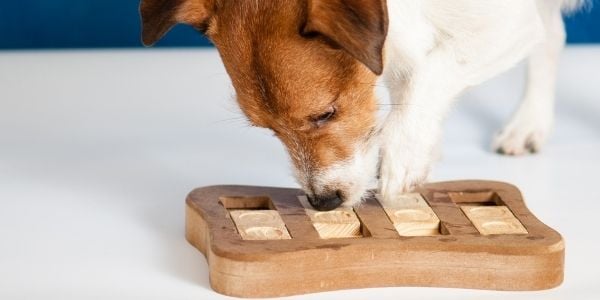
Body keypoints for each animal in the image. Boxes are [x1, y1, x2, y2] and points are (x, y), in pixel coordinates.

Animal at [139, 0, 584, 211]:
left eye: (325, 113)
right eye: (269, 129)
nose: (323, 203)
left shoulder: (509, 24)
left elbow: (432, 70)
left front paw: (405, 153)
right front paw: (421, 148)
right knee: (554, 36)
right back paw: (529, 125)